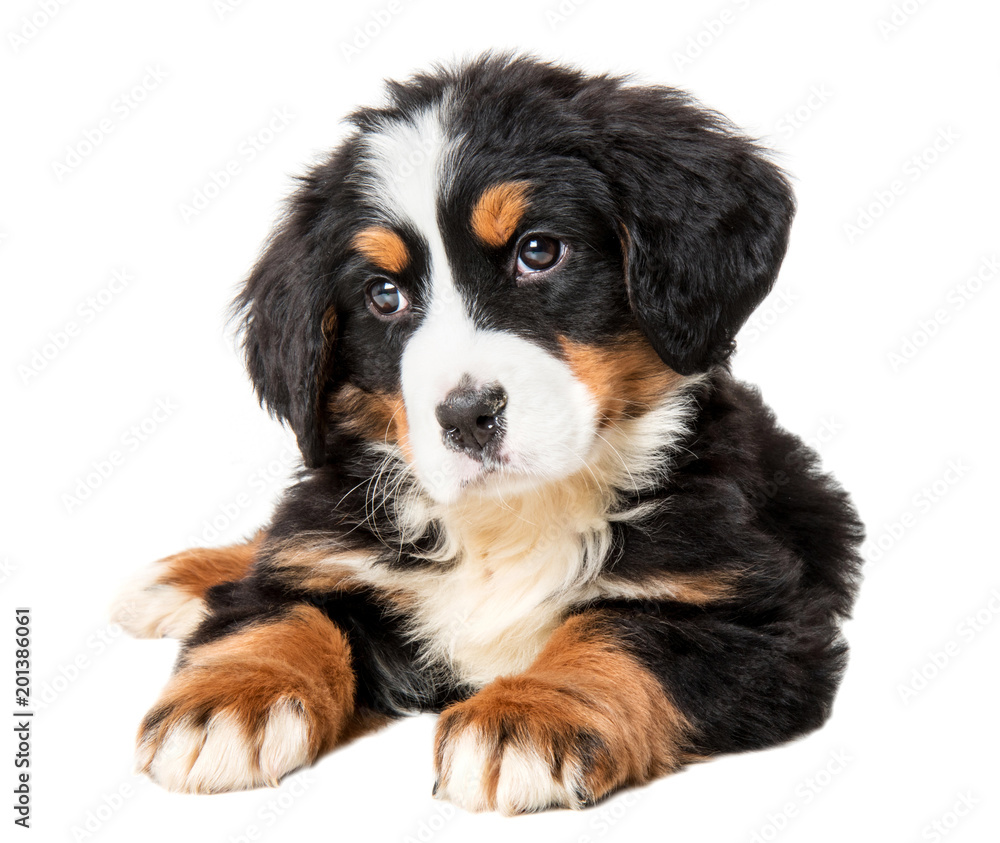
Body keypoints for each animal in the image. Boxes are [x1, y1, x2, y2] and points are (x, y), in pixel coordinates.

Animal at [115, 54, 868, 816]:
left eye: (539, 251)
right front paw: (228, 700)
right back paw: (184, 576)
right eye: (384, 295)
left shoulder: (759, 617)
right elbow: (278, 610)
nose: (466, 416)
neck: (511, 518)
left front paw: (531, 713)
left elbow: (620, 629)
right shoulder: (325, 550)